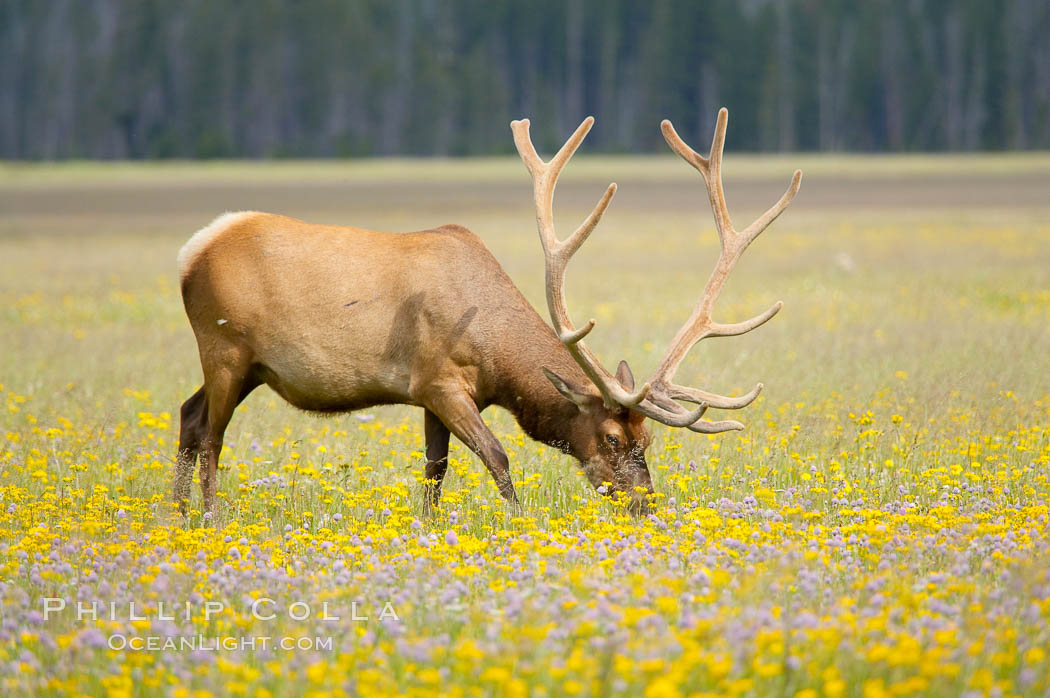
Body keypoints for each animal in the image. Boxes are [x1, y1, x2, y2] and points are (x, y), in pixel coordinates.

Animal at [174, 107, 802, 512]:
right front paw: (518, 523)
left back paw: (177, 515)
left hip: (250, 367)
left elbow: (434, 473)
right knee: (210, 434)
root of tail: (190, 251)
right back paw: (210, 516)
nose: (644, 504)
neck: (496, 356)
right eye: (611, 438)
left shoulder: (433, 396)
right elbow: (497, 458)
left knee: (186, 413)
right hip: (224, 348)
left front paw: (428, 528)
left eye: (647, 442)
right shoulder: (438, 381)